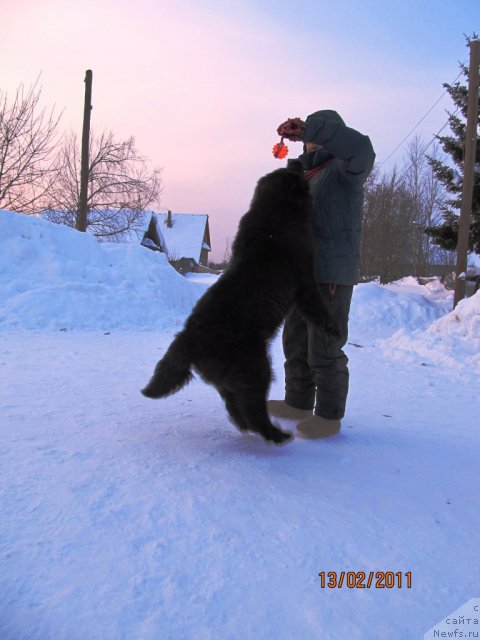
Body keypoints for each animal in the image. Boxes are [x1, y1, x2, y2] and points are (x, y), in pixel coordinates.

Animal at [142, 161, 338, 444]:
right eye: (291, 172)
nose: (296, 161)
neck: (273, 213)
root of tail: (189, 338)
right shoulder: (305, 280)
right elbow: (318, 308)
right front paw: (332, 328)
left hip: (231, 377)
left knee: (235, 408)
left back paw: (254, 429)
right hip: (255, 367)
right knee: (251, 409)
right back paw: (277, 435)